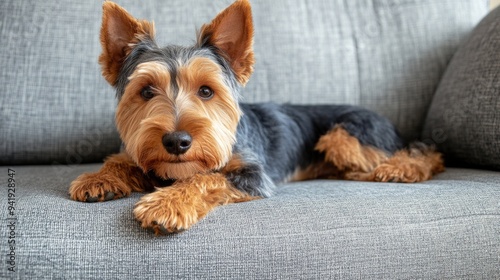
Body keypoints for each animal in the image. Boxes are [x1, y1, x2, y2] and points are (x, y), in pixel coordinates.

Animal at [68, 0, 444, 235]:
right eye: (146, 91)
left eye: (206, 91)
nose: (176, 141)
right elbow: (126, 160)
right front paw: (99, 178)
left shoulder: (253, 175)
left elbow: (206, 178)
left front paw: (167, 204)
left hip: (348, 135)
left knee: (425, 153)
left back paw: (398, 169)